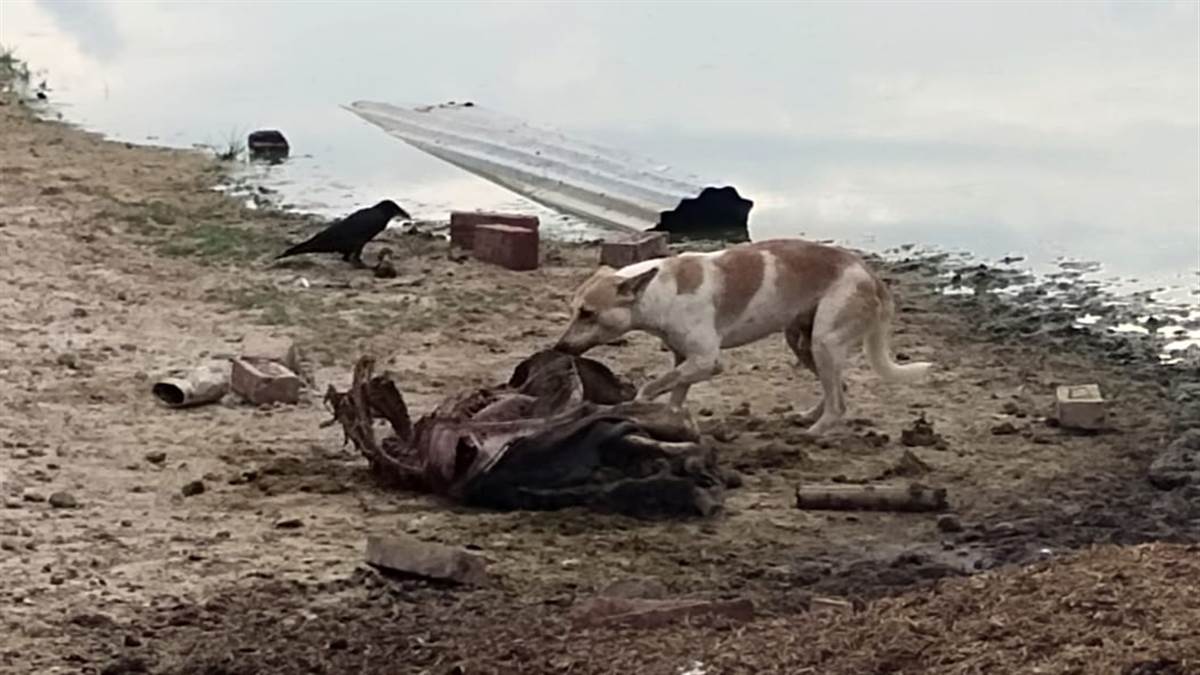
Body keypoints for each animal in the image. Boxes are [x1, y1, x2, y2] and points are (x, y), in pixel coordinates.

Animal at [554, 239, 936, 432]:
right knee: (838, 389)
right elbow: (675, 392)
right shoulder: (685, 359)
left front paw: (642, 406)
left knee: (838, 405)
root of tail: (871, 276)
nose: (559, 346)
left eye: (588, 313)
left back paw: (814, 434)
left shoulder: (707, 361)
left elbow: (651, 387)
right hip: (802, 341)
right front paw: (672, 422)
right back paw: (809, 417)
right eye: (574, 309)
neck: (661, 291)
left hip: (823, 342)